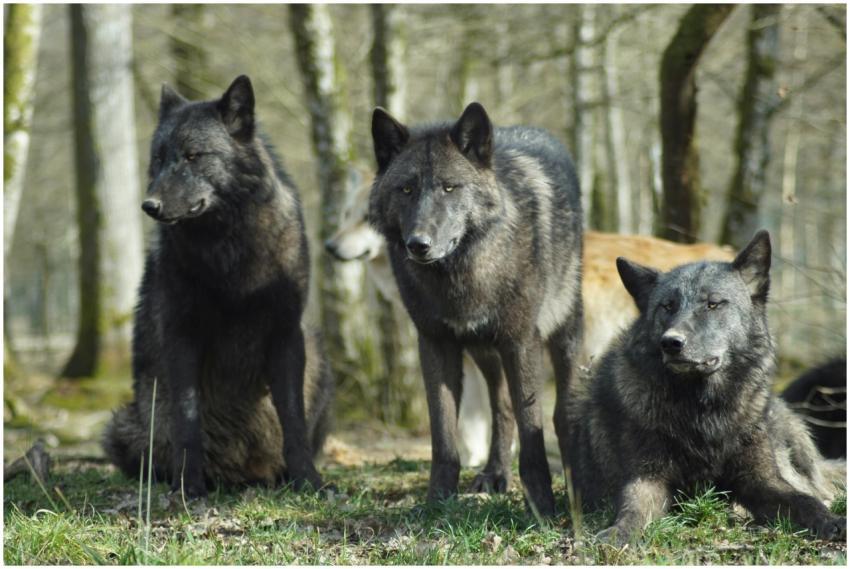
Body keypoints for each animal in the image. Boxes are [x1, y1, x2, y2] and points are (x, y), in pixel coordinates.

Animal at [102, 76, 333, 497]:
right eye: (158, 158)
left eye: (193, 156)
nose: (149, 206)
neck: (229, 249)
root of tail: (241, 474)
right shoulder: (182, 336)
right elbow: (188, 419)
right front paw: (189, 486)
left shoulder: (286, 334)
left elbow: (293, 420)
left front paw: (309, 480)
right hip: (124, 425)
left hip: (319, 355)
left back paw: (279, 476)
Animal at [368, 102, 583, 516]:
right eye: (406, 189)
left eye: (450, 187)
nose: (418, 244)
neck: (461, 275)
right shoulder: (435, 344)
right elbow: (443, 434)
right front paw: (437, 502)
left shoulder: (521, 342)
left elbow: (533, 431)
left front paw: (541, 506)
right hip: (484, 352)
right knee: (501, 407)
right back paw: (495, 473)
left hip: (562, 335)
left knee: (561, 410)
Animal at [561, 230, 846, 543]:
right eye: (667, 306)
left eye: (713, 304)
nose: (671, 343)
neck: (703, 411)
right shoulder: (647, 479)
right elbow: (632, 509)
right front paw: (616, 534)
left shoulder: (762, 480)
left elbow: (804, 500)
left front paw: (831, 520)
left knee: (816, 486)